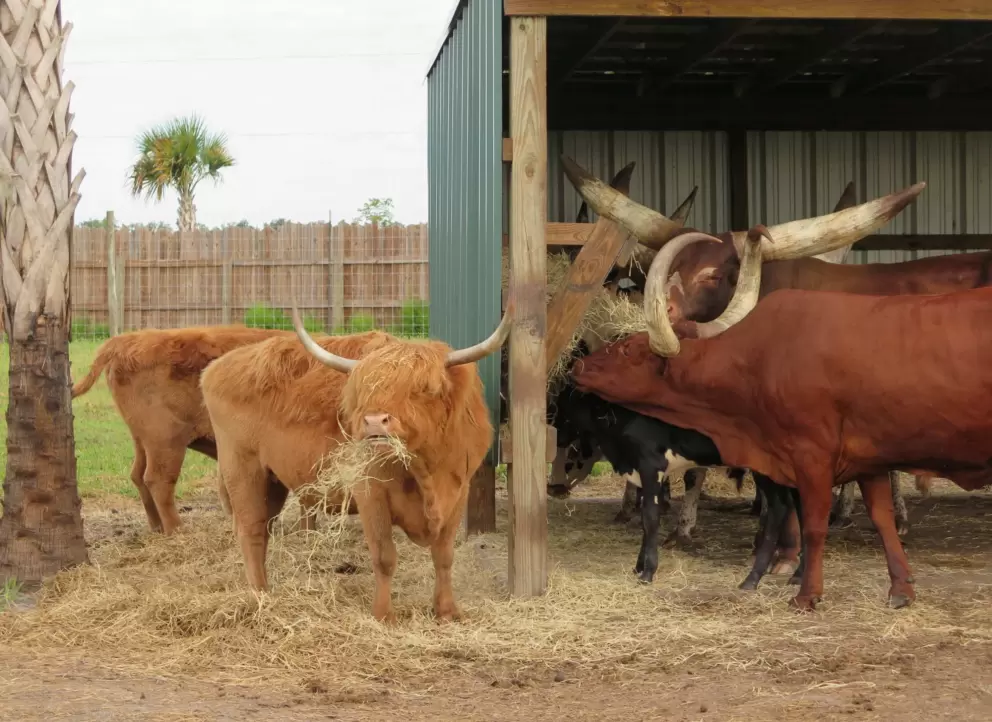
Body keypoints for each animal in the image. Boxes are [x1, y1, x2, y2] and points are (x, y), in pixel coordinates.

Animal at [71, 325, 296, 535]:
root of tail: (124, 341)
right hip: (166, 441)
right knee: (158, 480)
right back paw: (177, 529)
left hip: (142, 440)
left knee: (138, 475)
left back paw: (158, 527)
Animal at [199, 308, 513, 623]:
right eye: (364, 390)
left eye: (424, 389)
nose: (374, 422)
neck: (426, 472)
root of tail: (217, 367)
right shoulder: (371, 494)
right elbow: (385, 556)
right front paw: (384, 615)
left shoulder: (459, 492)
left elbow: (444, 556)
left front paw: (447, 611)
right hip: (243, 468)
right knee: (250, 531)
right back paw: (260, 596)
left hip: (273, 481)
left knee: (263, 528)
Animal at [568, 175, 992, 611]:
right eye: (673, 267)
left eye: (712, 274)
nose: (577, 366)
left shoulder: (808, 451)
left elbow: (802, 513)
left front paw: (792, 570)